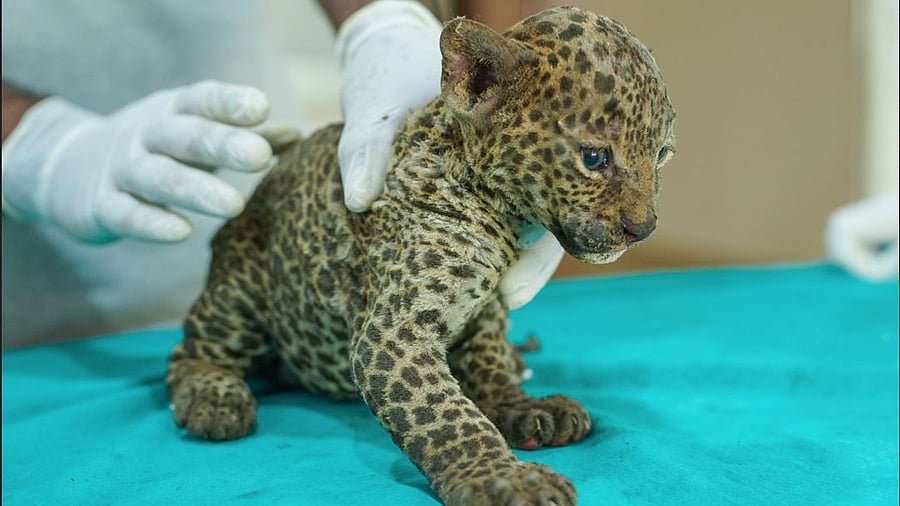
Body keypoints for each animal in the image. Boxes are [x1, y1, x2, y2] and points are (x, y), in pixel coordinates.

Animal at [166, 6, 675, 505]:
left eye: (662, 156)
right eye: (594, 158)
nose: (644, 227)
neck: (497, 213)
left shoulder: (486, 310)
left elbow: (488, 363)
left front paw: (519, 405)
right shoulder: (394, 335)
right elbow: (445, 414)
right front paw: (502, 479)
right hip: (241, 292)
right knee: (191, 351)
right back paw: (215, 399)